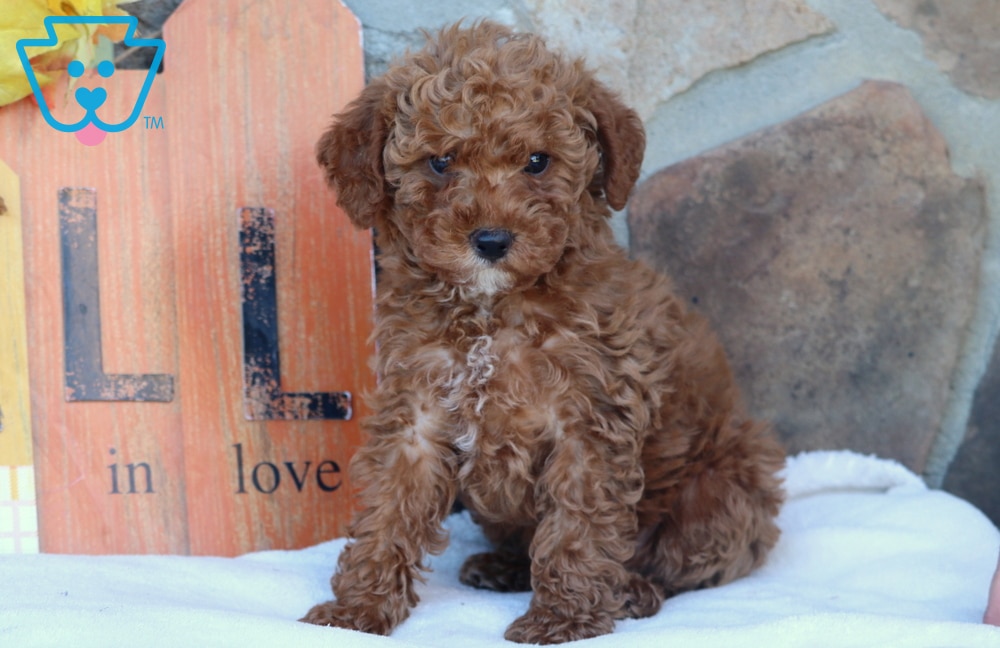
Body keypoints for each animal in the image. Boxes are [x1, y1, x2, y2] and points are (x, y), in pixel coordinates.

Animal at [301, 21, 785, 644]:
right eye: (440, 162)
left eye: (537, 161)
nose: (491, 240)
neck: (491, 309)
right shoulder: (415, 410)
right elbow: (388, 508)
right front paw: (356, 611)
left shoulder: (592, 419)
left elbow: (578, 525)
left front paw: (564, 618)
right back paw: (501, 567)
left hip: (720, 492)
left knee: (679, 562)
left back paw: (633, 591)